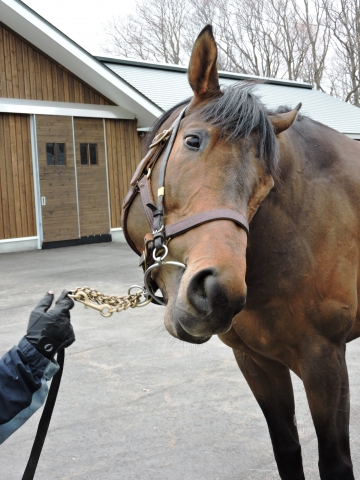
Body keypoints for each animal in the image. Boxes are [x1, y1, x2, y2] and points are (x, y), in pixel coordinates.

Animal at [125, 27, 360, 480]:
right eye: (193, 140)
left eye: (266, 181)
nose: (217, 293)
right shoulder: (256, 362)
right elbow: (287, 449)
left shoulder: (325, 361)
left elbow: (335, 461)